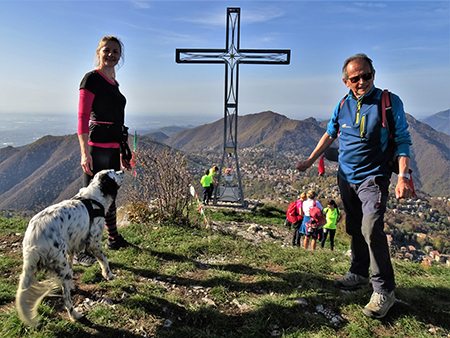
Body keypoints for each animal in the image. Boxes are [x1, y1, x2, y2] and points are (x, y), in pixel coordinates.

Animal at [15, 170, 124, 326]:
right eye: (114, 172)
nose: (123, 170)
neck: (94, 199)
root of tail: (33, 239)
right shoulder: (94, 241)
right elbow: (104, 260)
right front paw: (109, 275)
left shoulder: (71, 247)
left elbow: (73, 264)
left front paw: (73, 284)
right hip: (61, 264)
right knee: (66, 299)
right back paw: (75, 315)